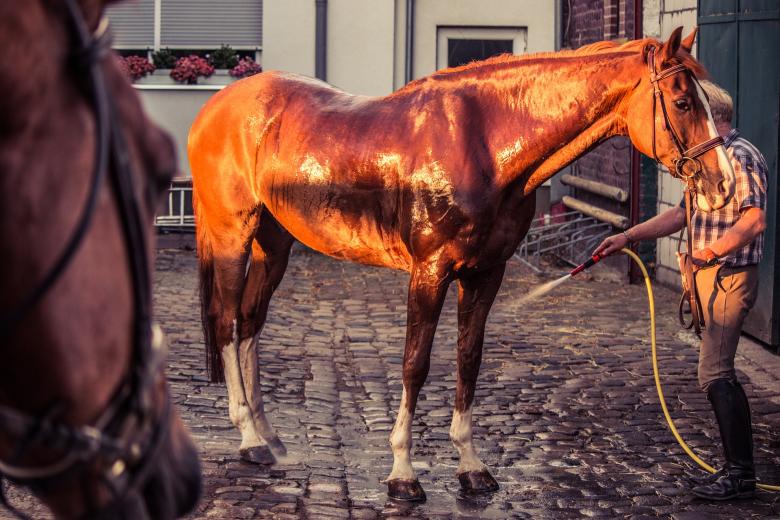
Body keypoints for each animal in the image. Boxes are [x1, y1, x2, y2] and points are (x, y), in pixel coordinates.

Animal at [189, 27, 735, 501]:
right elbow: (415, 364)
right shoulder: (429, 273)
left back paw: (268, 435)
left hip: (273, 244)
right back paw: (249, 438)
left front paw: (471, 468)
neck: (483, 144)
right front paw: (402, 473)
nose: (723, 184)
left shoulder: (485, 273)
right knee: (227, 322)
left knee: (250, 323)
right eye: (683, 102)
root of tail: (215, 107)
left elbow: (468, 360)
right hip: (232, 238)